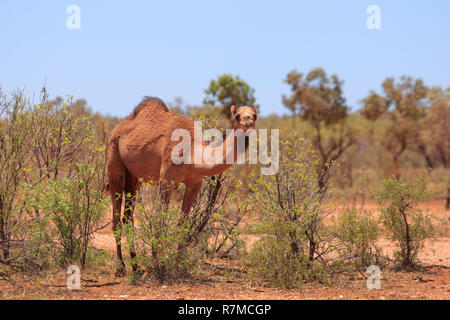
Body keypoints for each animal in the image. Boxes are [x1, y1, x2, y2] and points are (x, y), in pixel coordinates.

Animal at [107, 97, 258, 276]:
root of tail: (118, 128)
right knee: (117, 217)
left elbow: (183, 224)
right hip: (114, 160)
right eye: (237, 115)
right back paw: (120, 268)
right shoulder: (166, 181)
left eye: (255, 115)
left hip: (133, 177)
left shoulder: (195, 184)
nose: (247, 120)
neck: (192, 153)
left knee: (128, 217)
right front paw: (158, 263)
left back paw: (136, 267)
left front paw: (178, 263)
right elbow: (160, 221)